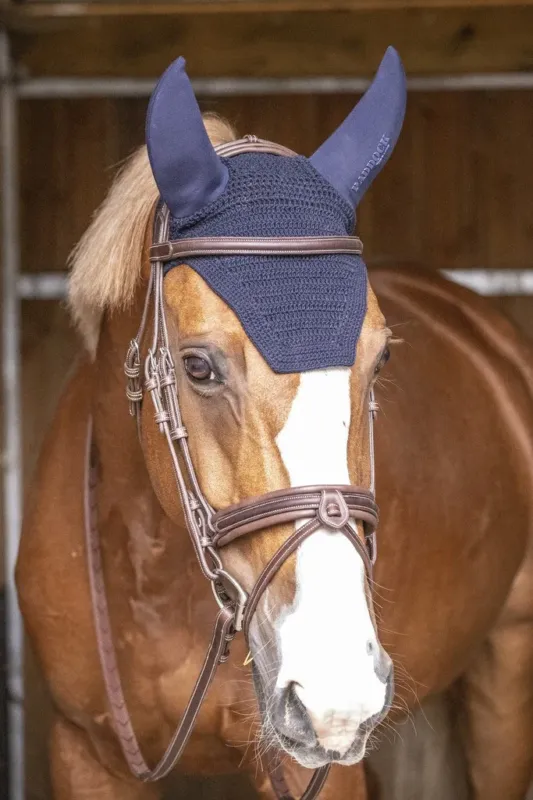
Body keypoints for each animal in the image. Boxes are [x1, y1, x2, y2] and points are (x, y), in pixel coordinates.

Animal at [16, 48, 533, 800]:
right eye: (198, 366)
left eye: (379, 359)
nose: (336, 687)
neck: (156, 577)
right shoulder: (83, 751)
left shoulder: (316, 766)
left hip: (507, 662)